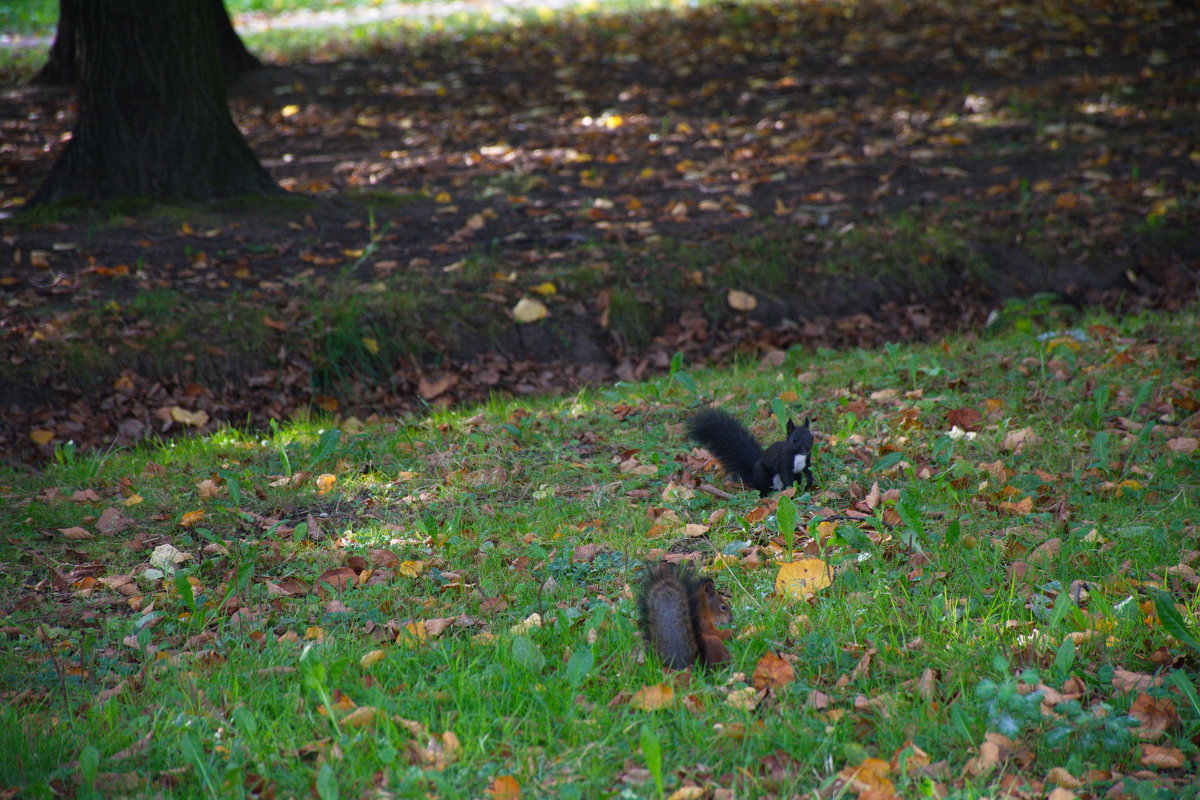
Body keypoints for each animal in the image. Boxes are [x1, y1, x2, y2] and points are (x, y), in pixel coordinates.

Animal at [686, 410, 816, 496]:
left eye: (811, 437)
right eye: (795, 440)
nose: (807, 448)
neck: (798, 455)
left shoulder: (806, 463)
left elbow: (808, 473)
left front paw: (808, 487)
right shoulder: (784, 463)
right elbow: (787, 478)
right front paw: (792, 491)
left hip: (796, 475)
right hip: (762, 474)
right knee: (762, 488)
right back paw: (765, 495)